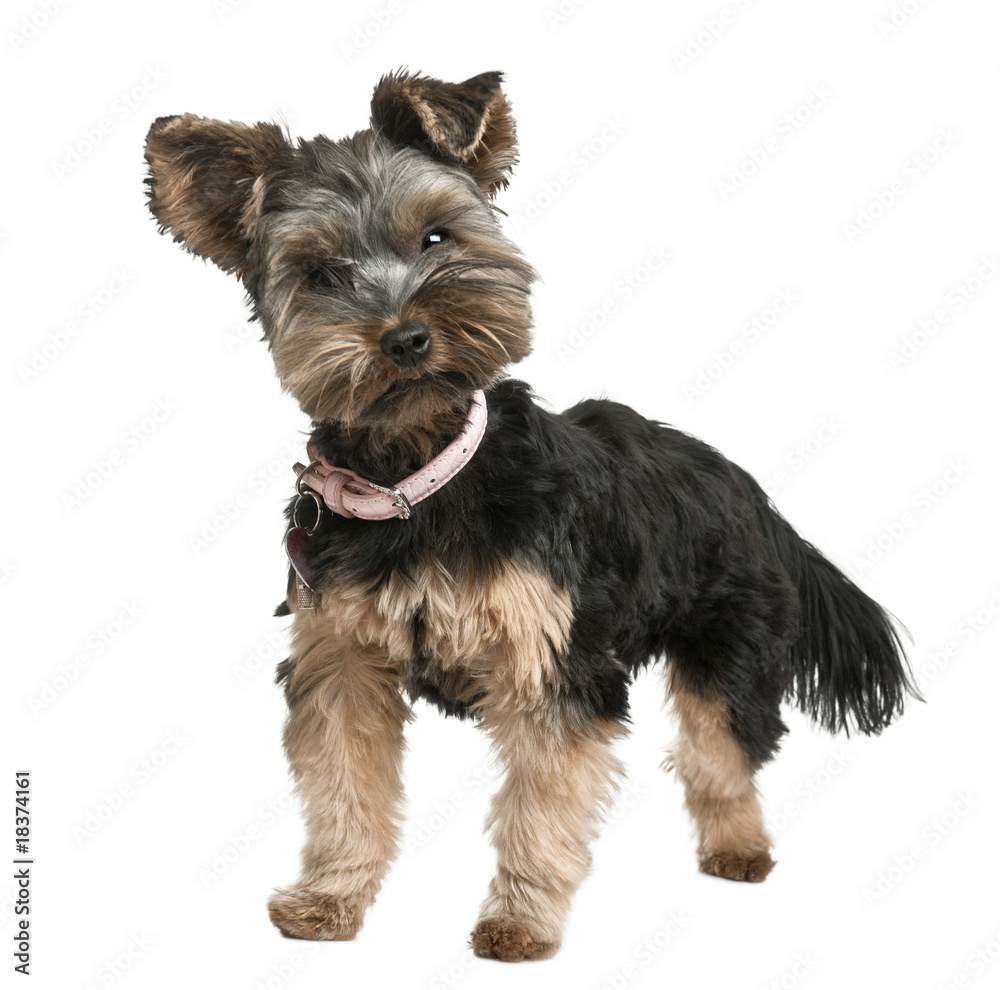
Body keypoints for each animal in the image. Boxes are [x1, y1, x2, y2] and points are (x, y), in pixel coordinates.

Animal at [145, 68, 916, 960]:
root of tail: (755, 495)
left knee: (722, 748)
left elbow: (542, 805)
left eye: (437, 237)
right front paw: (329, 899)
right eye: (321, 272)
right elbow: (344, 786)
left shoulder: (554, 661)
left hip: (732, 633)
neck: (419, 478)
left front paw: (519, 921)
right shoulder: (341, 659)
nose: (406, 338)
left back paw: (738, 848)